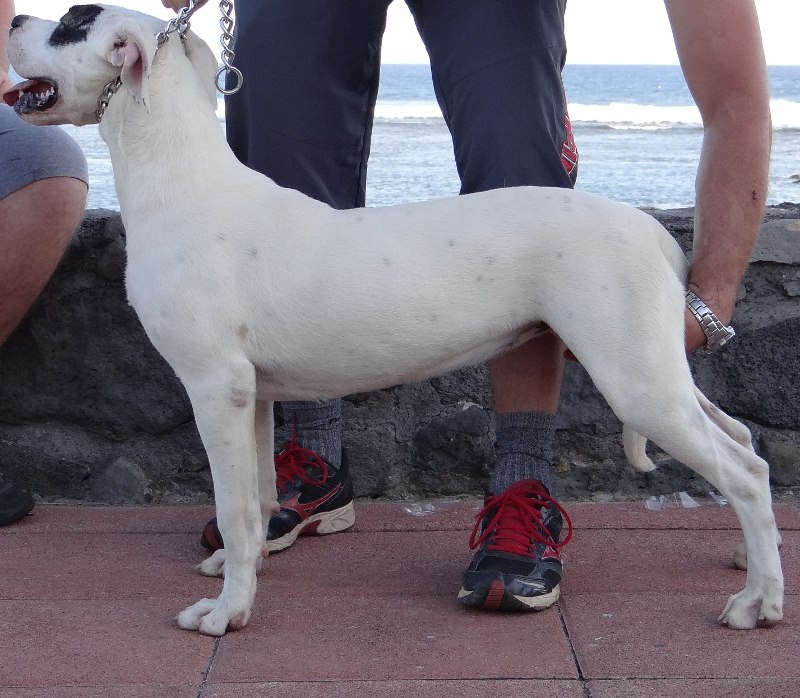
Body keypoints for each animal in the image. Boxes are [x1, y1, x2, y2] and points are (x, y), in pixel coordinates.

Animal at [5, 5, 783, 636]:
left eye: (73, 21)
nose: (13, 19)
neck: (181, 177)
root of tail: (649, 228)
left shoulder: (212, 386)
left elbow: (231, 504)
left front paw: (228, 614)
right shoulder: (250, 395)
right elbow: (254, 500)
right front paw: (239, 567)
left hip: (636, 379)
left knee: (743, 470)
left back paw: (759, 602)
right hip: (654, 367)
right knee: (745, 441)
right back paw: (751, 555)